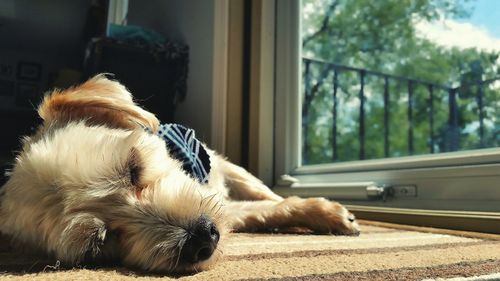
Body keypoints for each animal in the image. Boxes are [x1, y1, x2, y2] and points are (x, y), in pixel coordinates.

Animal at [0, 74, 360, 272]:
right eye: (96, 245)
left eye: (134, 168)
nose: (202, 238)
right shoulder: (221, 207)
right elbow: (263, 210)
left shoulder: (220, 166)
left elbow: (264, 193)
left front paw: (328, 212)